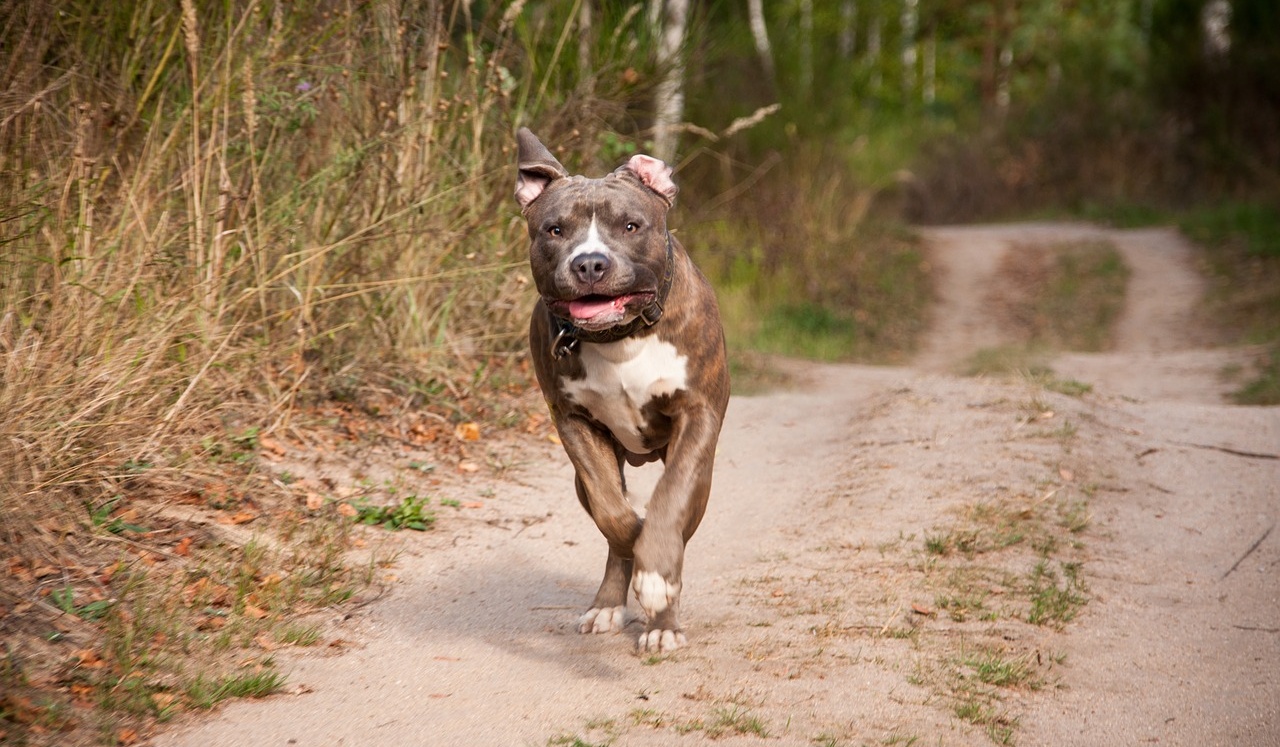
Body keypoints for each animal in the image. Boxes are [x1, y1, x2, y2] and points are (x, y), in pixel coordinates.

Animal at [512, 129, 732, 654]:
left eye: (631, 225)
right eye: (554, 230)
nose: (590, 263)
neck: (621, 338)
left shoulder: (697, 416)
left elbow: (669, 502)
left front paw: (657, 579)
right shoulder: (573, 423)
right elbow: (614, 514)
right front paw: (634, 541)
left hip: (704, 476)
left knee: (678, 515)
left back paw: (662, 621)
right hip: (583, 476)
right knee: (611, 520)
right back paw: (610, 602)